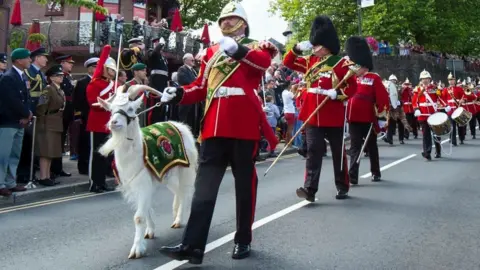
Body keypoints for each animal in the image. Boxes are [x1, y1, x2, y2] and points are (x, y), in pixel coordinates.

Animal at [95, 85, 197, 258]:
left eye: (130, 109)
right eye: (111, 110)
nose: (113, 122)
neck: (137, 151)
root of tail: (180, 125)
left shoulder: (142, 184)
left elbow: (138, 217)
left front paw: (137, 249)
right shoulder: (136, 185)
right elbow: (146, 210)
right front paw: (149, 233)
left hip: (185, 169)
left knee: (185, 192)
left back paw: (179, 220)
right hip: (168, 176)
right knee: (178, 191)